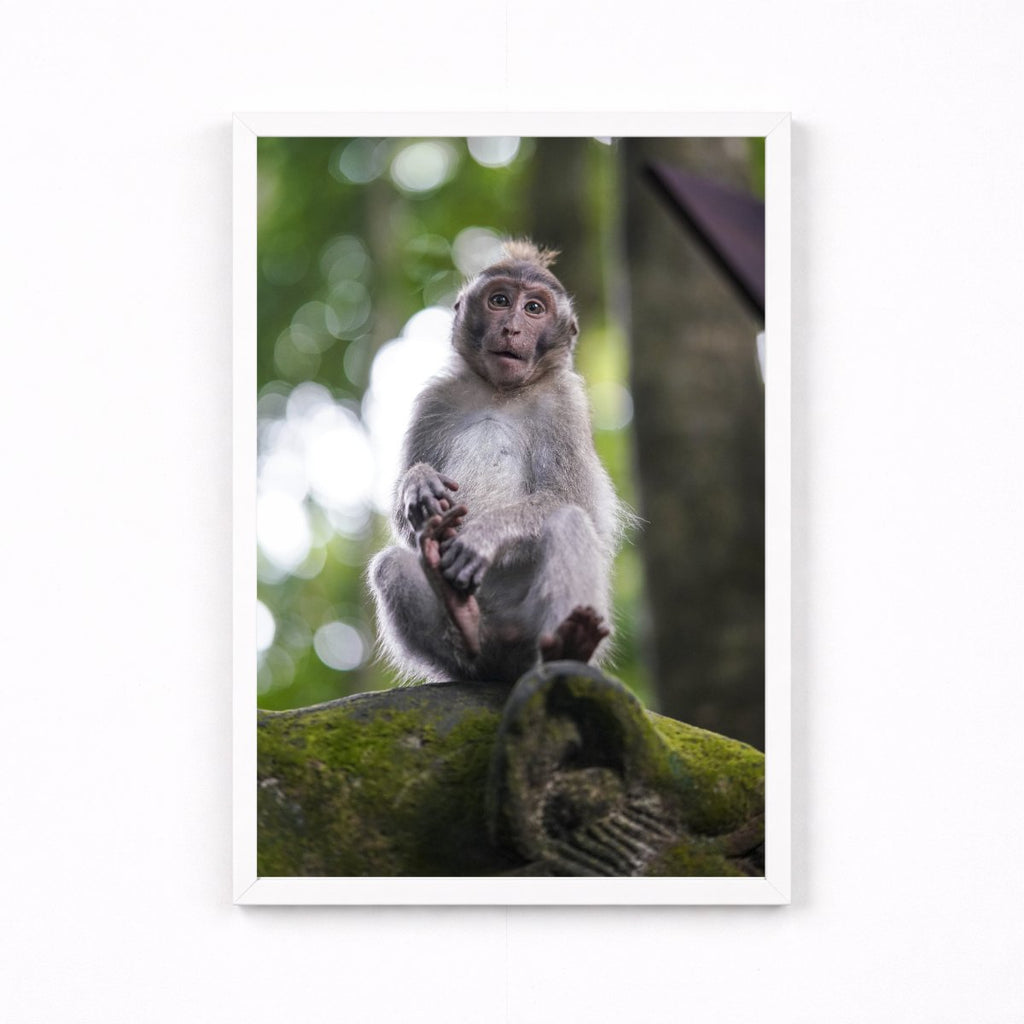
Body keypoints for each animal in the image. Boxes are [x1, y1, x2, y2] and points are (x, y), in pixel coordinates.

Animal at [368, 240, 626, 684]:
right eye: (500, 301)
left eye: (534, 309)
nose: (512, 329)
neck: (501, 393)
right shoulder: (434, 401)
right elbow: (405, 525)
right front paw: (418, 483)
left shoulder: (565, 405)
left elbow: (575, 502)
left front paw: (485, 534)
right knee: (390, 565)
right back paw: (468, 629)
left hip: (531, 629)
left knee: (568, 520)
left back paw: (569, 647)